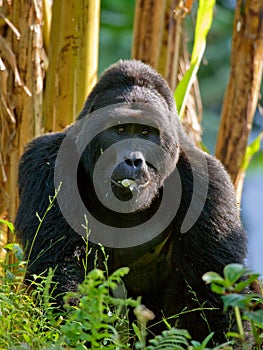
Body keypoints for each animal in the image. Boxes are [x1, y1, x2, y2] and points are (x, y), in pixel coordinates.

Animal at [15, 59, 249, 342]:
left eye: (146, 132)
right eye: (120, 129)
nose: (133, 159)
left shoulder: (210, 182)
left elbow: (218, 296)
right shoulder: (47, 162)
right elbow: (60, 270)